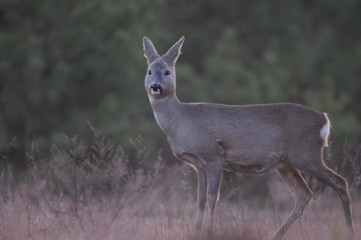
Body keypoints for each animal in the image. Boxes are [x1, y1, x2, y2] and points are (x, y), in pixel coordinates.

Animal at [142, 36, 352, 240]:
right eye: (149, 71)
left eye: (167, 72)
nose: (155, 87)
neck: (183, 122)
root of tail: (324, 119)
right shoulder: (198, 165)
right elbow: (200, 200)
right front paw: (196, 233)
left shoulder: (214, 156)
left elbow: (212, 198)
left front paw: (208, 233)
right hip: (286, 163)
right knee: (304, 195)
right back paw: (276, 235)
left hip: (306, 154)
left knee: (340, 182)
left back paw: (349, 230)